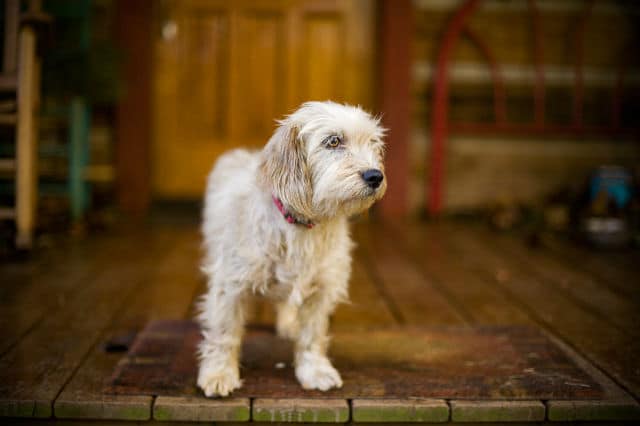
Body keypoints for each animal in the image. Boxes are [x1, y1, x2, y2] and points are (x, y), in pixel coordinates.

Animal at [196, 100, 384, 396]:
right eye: (333, 141)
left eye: (373, 143)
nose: (376, 176)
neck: (303, 227)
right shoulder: (230, 284)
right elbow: (224, 333)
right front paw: (219, 374)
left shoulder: (321, 289)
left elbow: (312, 336)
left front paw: (315, 371)